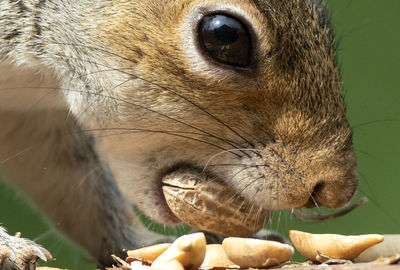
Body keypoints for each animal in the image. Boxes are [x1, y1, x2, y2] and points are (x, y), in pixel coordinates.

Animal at [0, 0, 356, 268]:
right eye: (225, 36)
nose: (336, 191)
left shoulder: (34, 120)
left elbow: (75, 188)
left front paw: (150, 245)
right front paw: (10, 249)